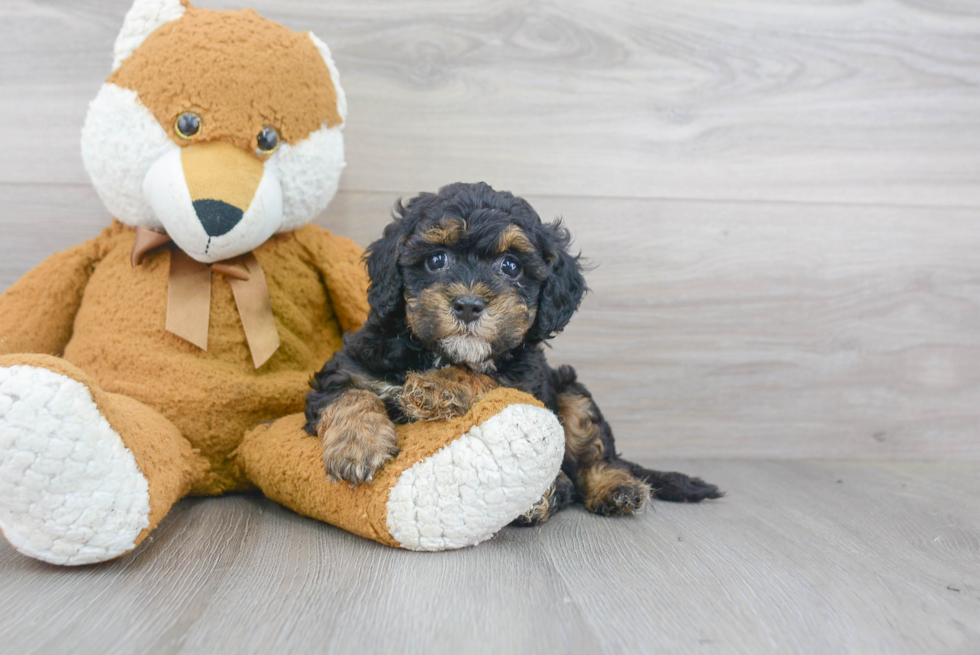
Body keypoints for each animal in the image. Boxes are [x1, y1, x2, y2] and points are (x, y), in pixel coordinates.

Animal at [310, 182, 724, 524]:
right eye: (436, 260)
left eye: (510, 266)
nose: (468, 305)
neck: (441, 353)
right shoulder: (351, 362)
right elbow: (349, 393)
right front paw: (357, 446)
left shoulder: (527, 382)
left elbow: (486, 378)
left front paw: (439, 387)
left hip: (571, 393)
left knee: (591, 456)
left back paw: (609, 488)